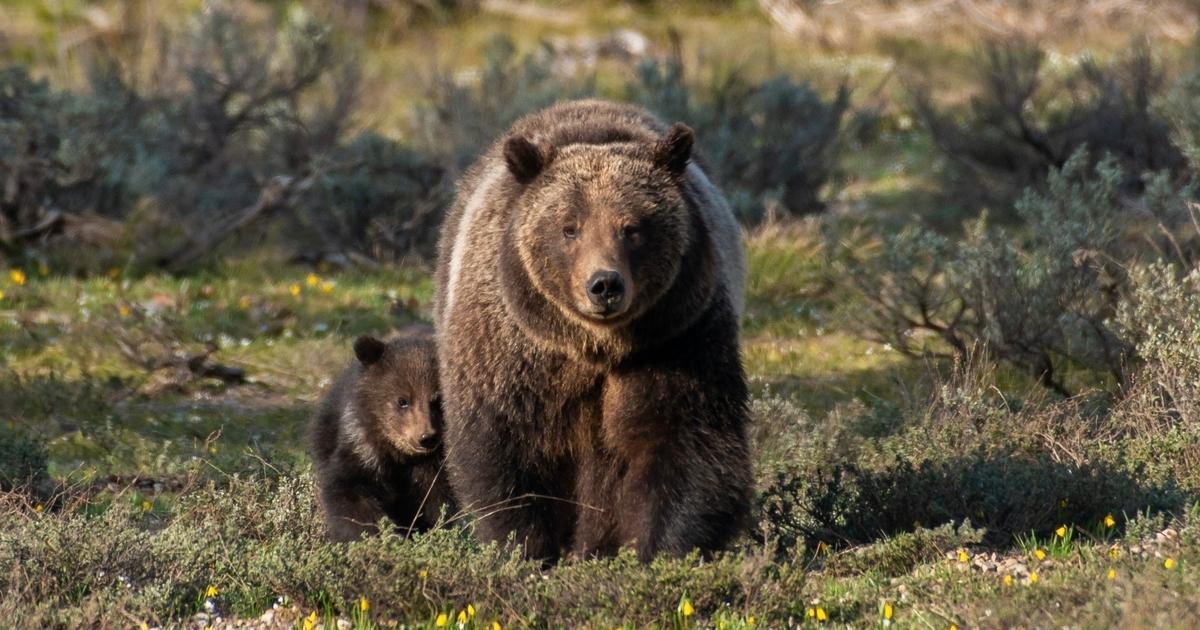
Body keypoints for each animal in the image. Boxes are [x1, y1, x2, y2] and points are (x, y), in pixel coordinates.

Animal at [309, 324, 458, 540]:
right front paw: (376, 532)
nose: (426, 437)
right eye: (402, 400)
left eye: (437, 400)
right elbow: (350, 492)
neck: (400, 455)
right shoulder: (363, 449)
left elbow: (435, 503)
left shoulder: (434, 466)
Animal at [432, 98, 748, 559]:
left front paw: (658, 549)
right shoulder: (515, 354)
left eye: (632, 227)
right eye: (569, 227)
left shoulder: (677, 338)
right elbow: (506, 450)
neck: (596, 347)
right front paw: (529, 548)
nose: (604, 285)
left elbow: (684, 443)